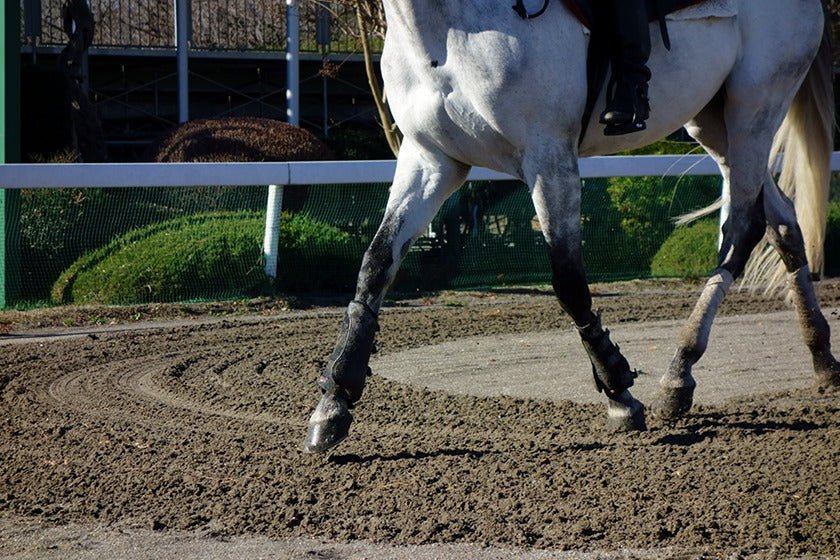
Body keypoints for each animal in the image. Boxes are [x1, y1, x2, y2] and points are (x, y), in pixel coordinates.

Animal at [304, 0, 838, 453]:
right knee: (783, 223)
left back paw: (679, 372)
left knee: (743, 229)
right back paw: (820, 358)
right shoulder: (431, 160)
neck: (448, 29)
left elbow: (568, 280)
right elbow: (375, 265)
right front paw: (335, 399)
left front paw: (618, 392)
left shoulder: (549, 159)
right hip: (713, 120)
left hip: (755, 107)